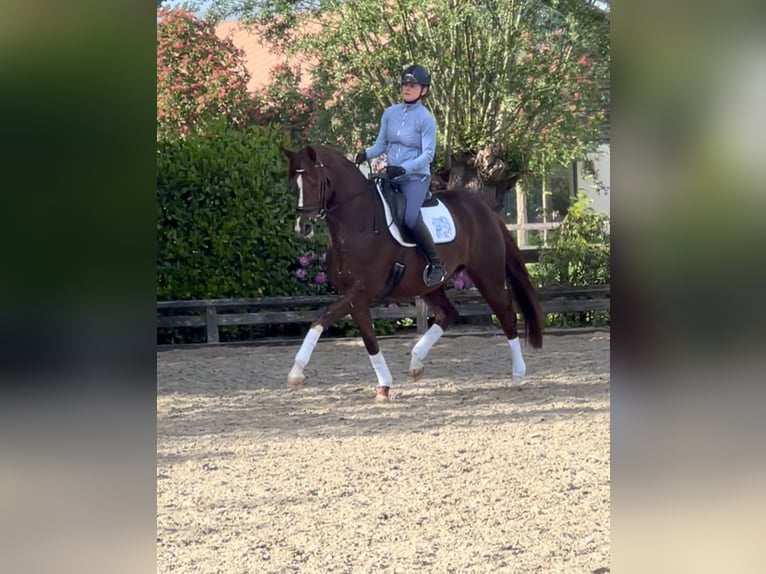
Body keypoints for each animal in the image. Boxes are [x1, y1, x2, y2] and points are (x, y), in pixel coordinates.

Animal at [281, 145, 543, 403]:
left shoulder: (360, 292)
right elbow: (366, 340)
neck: (358, 225)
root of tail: (487, 212)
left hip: (487, 276)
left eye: (316, 181)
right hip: (428, 286)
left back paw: (518, 374)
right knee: (449, 313)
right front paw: (383, 387)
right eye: (294, 184)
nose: (303, 226)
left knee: (506, 315)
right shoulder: (354, 298)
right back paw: (416, 362)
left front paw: (296, 373)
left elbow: (322, 319)